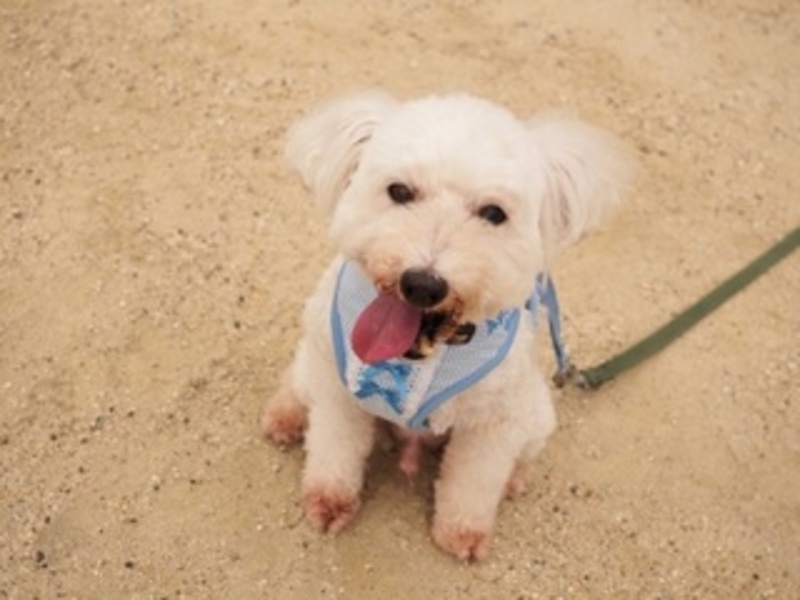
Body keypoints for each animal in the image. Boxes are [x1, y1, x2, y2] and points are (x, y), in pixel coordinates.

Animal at [263, 91, 632, 561]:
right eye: (400, 191)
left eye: (493, 213)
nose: (422, 283)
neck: (420, 351)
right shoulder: (338, 391)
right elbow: (334, 450)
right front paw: (329, 501)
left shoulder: (493, 424)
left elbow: (474, 482)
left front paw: (463, 532)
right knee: (297, 381)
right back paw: (285, 416)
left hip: (536, 412)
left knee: (523, 451)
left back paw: (515, 478)